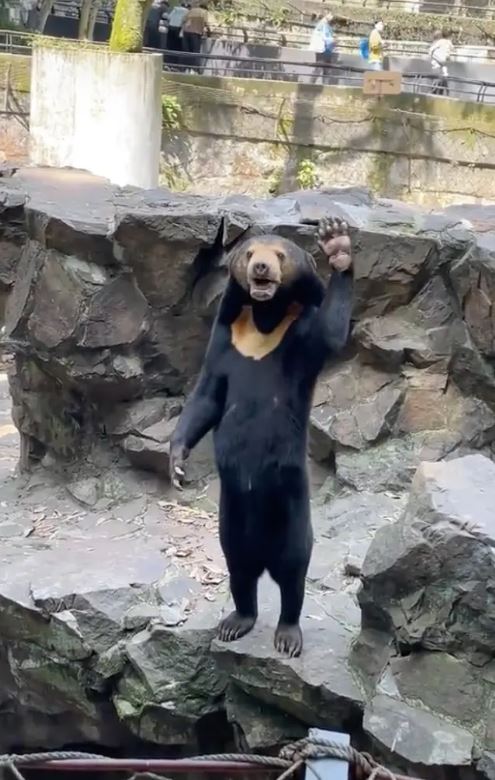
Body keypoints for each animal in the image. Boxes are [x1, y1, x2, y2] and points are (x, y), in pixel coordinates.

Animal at [170, 216, 352, 656]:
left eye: (281, 255)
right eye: (250, 253)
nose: (262, 269)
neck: (265, 320)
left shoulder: (302, 333)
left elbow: (331, 333)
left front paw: (338, 244)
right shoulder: (226, 337)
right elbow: (207, 395)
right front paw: (177, 463)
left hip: (291, 506)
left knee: (293, 569)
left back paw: (287, 634)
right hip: (231, 518)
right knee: (239, 568)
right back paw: (236, 621)